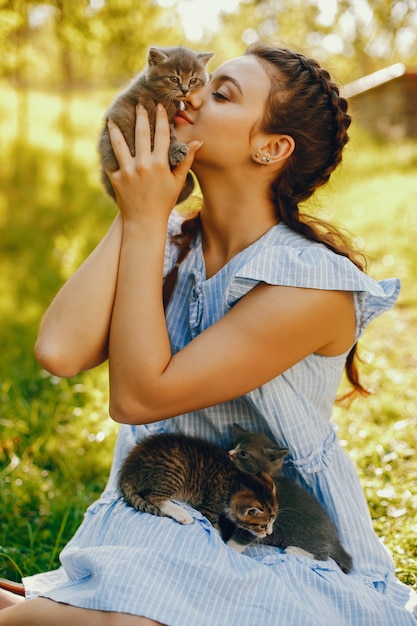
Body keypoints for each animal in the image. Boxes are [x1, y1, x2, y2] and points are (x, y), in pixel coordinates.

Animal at [96, 46, 211, 202]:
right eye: (174, 79)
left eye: (193, 80)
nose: (185, 90)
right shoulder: (150, 110)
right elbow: (169, 133)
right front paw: (176, 150)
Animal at [117, 432, 278, 544]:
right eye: (263, 526)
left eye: (272, 522)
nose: (269, 533)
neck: (238, 480)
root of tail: (128, 468)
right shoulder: (210, 506)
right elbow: (213, 526)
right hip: (175, 469)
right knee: (153, 496)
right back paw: (182, 514)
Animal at [224, 422, 352, 572]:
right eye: (233, 445)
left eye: (244, 453)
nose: (229, 453)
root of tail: (335, 538)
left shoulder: (259, 518)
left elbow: (243, 537)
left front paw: (229, 548)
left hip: (305, 532)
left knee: (324, 555)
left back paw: (294, 550)